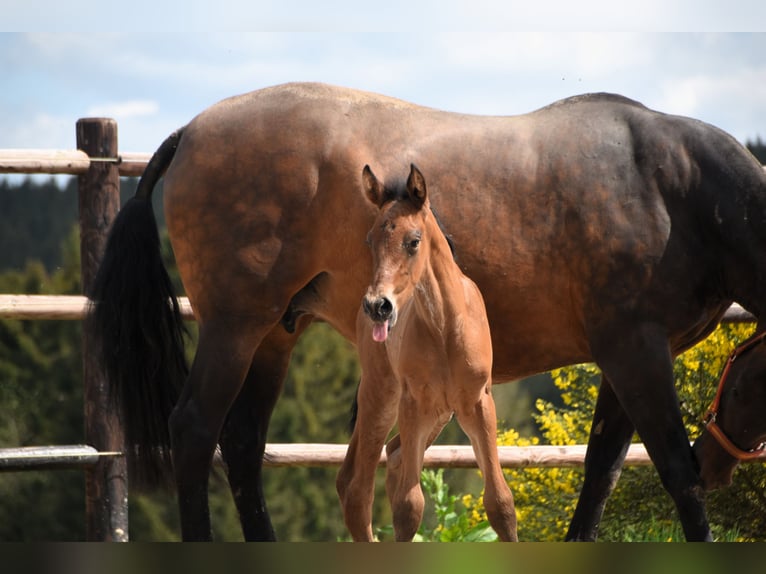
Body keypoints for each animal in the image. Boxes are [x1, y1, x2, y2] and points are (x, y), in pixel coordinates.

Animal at [340, 164, 520, 544]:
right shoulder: (413, 403)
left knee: (392, 457)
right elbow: (410, 508)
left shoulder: (478, 403)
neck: (445, 328)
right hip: (382, 397)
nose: (378, 306)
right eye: (370, 240)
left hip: (438, 415)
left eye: (414, 241)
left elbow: (500, 502)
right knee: (357, 489)